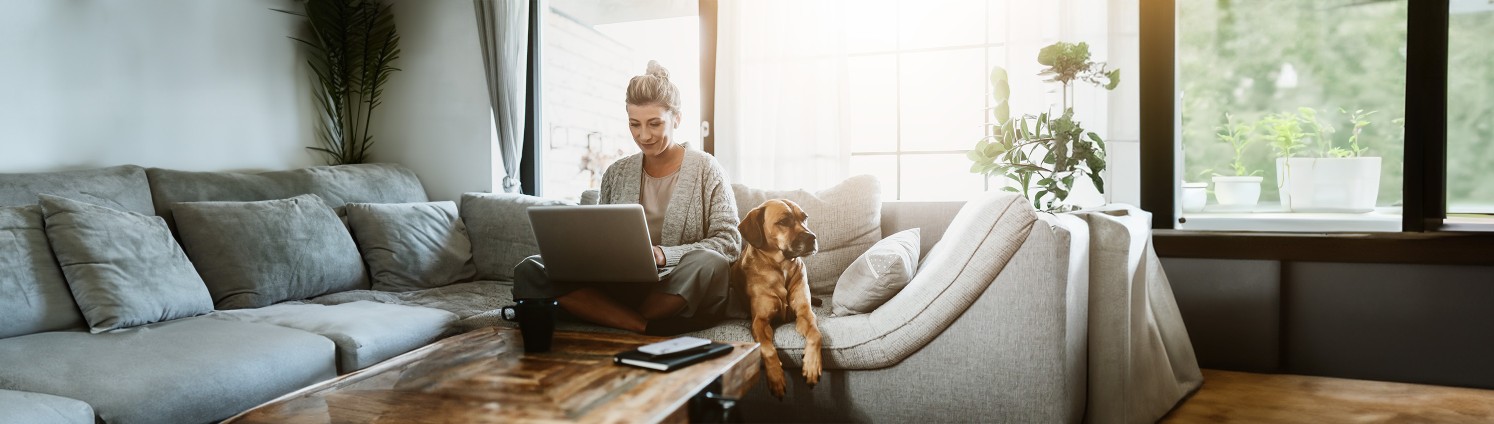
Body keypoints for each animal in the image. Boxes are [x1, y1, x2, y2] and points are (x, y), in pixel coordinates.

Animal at [729, 198, 824, 397]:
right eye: (784, 221)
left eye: (804, 218)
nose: (812, 238)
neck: (782, 267)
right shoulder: (760, 321)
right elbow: (767, 349)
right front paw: (776, 377)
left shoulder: (805, 313)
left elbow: (816, 334)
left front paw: (811, 365)